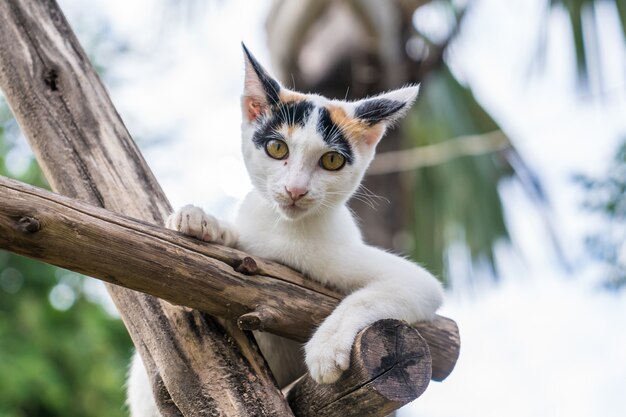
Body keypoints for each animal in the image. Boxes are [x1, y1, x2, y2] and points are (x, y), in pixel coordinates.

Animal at [127, 45, 442, 416]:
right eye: (277, 149)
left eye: (332, 160)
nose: (296, 190)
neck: (286, 231)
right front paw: (203, 221)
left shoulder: (418, 284)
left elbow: (368, 297)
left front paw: (325, 347)